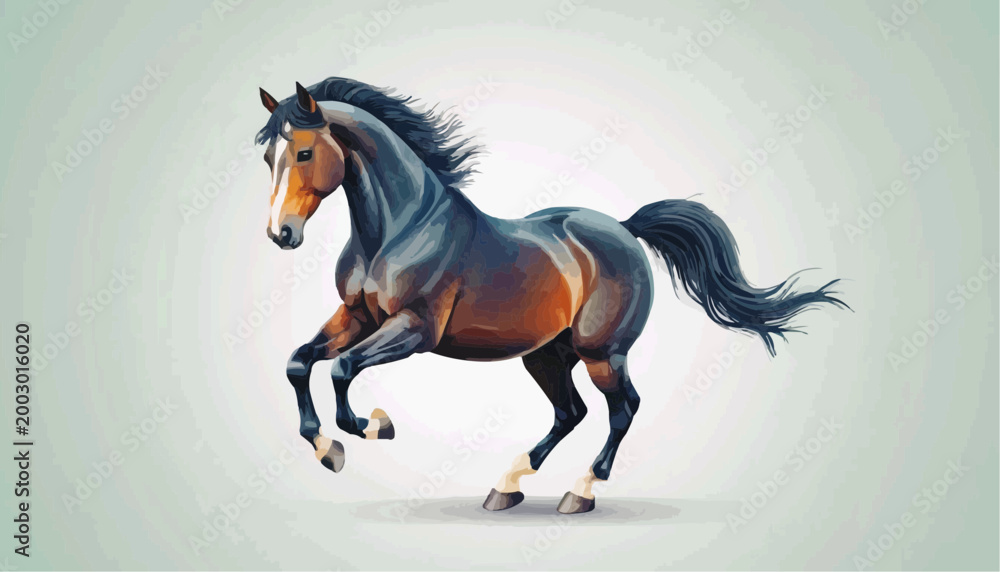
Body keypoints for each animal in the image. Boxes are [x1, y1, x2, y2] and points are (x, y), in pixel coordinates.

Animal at [255, 78, 847, 514]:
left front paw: (372, 427)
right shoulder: (355, 316)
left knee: (622, 409)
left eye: (303, 152)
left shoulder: (414, 328)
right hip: (546, 353)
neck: (399, 229)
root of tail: (625, 229)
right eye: (268, 159)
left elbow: (341, 370)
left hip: (601, 351)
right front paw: (326, 447)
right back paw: (508, 485)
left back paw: (580, 492)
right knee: (572, 412)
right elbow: (299, 362)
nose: (280, 234)